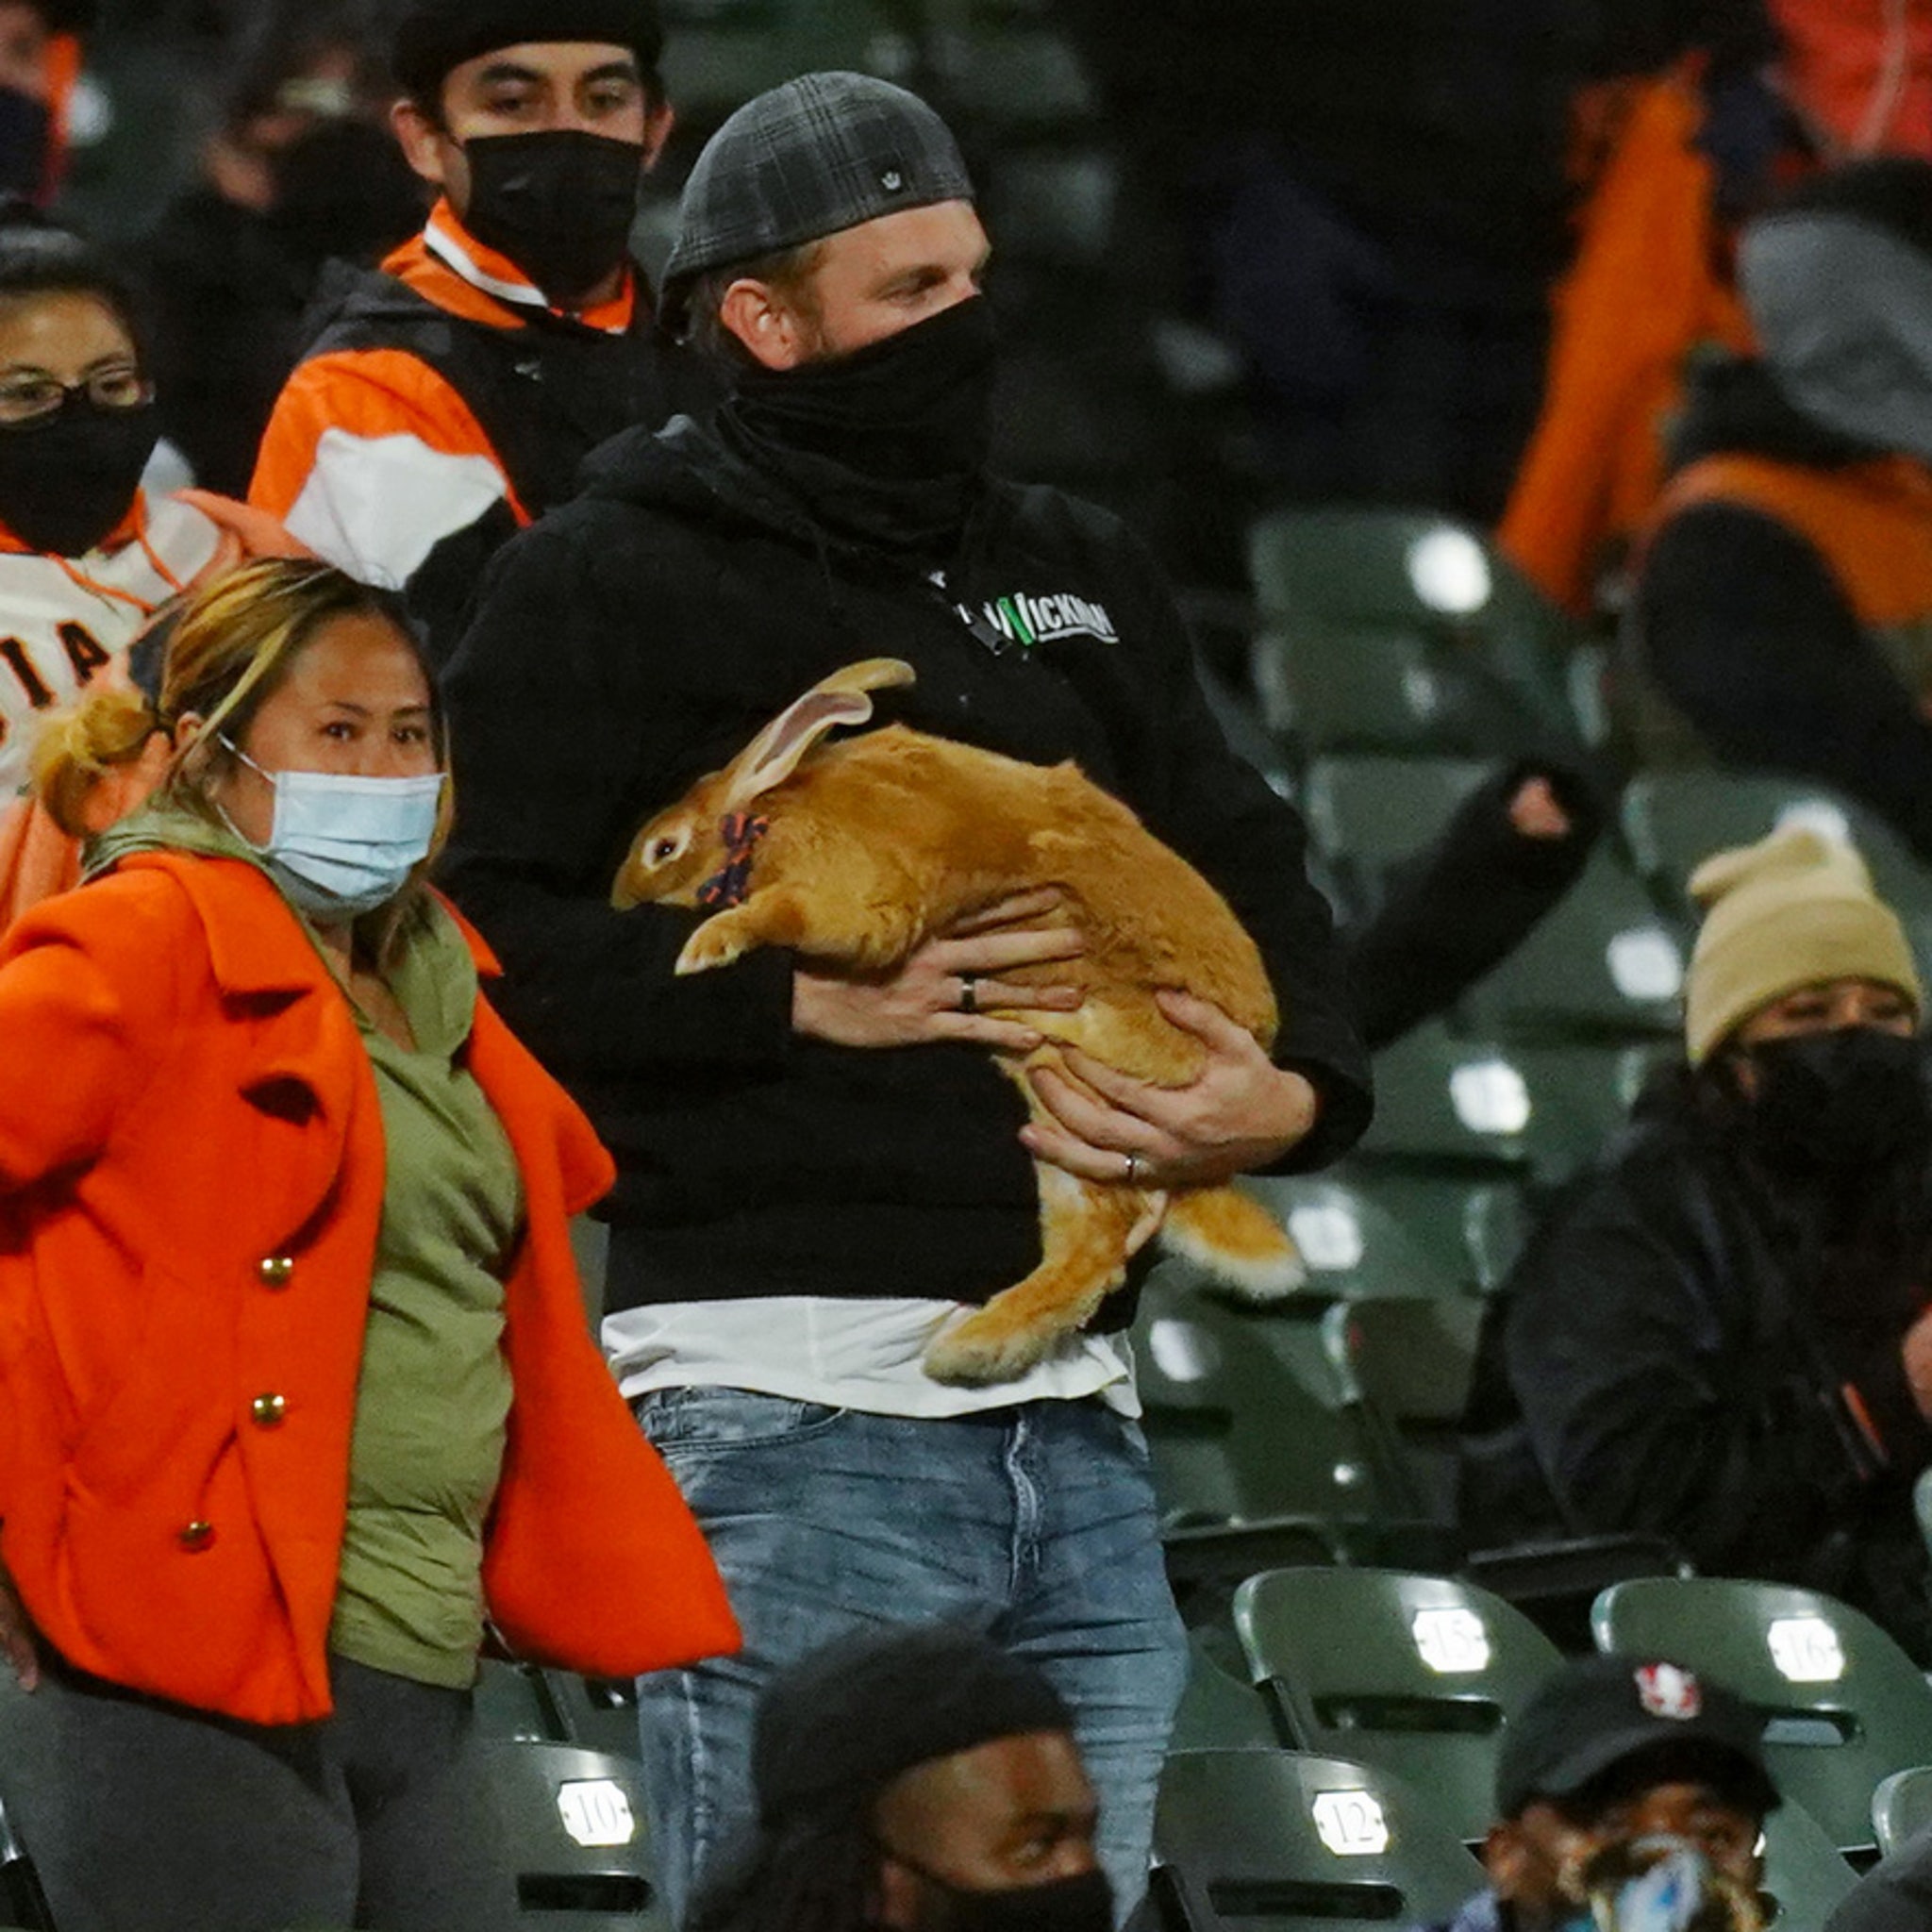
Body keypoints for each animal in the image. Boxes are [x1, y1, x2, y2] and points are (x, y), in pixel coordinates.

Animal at [610, 657, 1306, 1383]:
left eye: (662, 849)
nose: (619, 900)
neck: (770, 819)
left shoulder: (858, 899)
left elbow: (784, 913)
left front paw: (704, 947)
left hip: (1081, 1084)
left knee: (1104, 1235)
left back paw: (962, 1351)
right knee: (1093, 1238)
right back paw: (976, 1346)